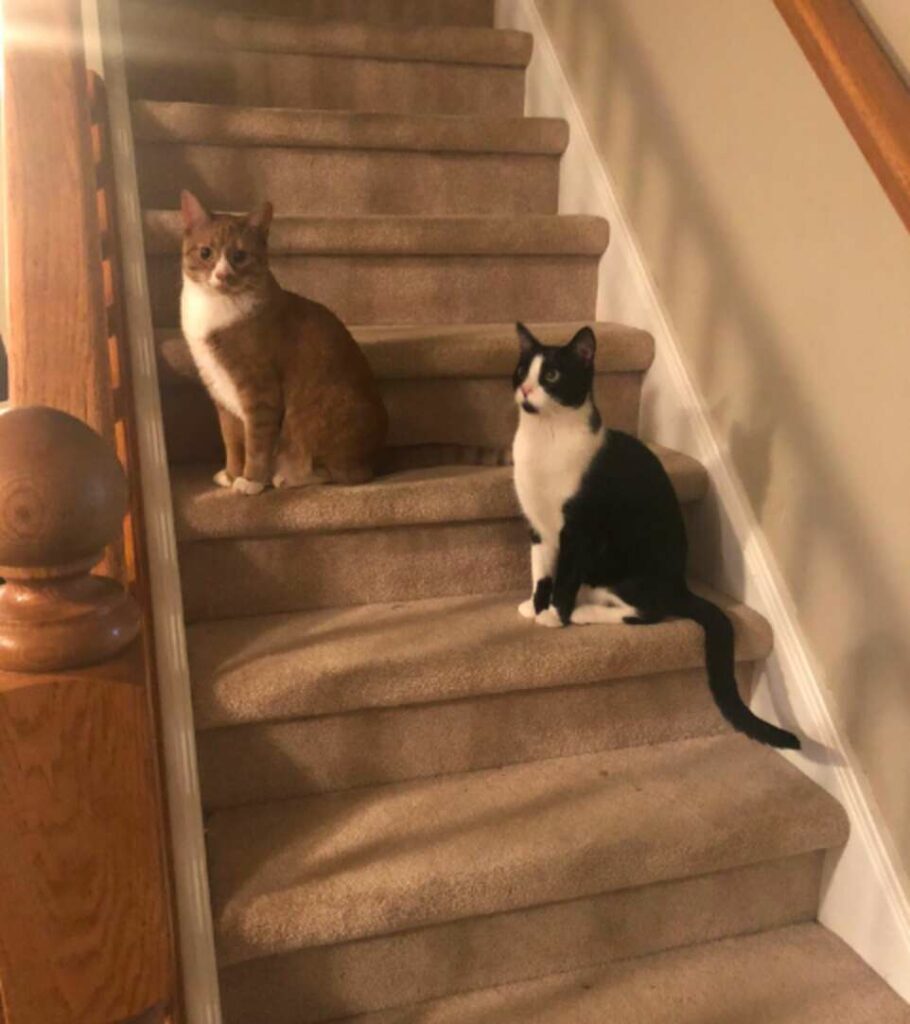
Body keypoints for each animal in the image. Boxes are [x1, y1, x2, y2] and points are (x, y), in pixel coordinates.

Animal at [180, 194, 386, 495]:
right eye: (206, 253)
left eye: (239, 256)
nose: (222, 275)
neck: (215, 310)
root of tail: (376, 455)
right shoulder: (219, 391)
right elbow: (232, 441)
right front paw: (231, 474)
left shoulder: (259, 390)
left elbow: (256, 444)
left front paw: (250, 480)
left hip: (312, 419)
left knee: (344, 473)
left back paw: (287, 477)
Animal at [511, 325, 802, 753]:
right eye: (521, 370)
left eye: (551, 376)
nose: (526, 389)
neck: (545, 440)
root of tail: (681, 584)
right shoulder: (537, 525)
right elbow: (540, 572)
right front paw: (534, 606)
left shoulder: (578, 531)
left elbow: (563, 578)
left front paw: (554, 615)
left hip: (626, 566)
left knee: (649, 611)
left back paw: (583, 612)